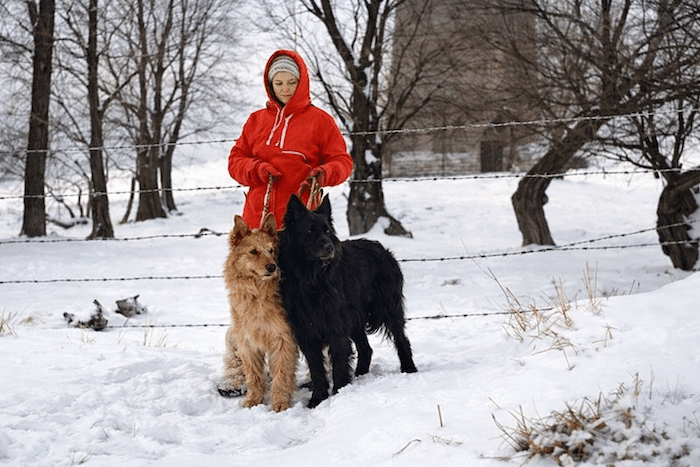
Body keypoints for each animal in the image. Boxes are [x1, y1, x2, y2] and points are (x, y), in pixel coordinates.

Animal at [217, 213, 297, 412]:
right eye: (253, 251)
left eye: (271, 250)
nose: (272, 267)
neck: (257, 293)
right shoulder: (247, 341)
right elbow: (253, 376)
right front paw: (253, 401)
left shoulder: (282, 339)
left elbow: (282, 374)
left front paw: (280, 403)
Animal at [278, 194, 417, 408]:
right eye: (309, 231)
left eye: (327, 230)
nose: (330, 248)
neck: (312, 279)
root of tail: (383, 249)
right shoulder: (306, 331)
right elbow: (317, 368)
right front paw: (317, 398)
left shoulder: (336, 327)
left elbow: (339, 362)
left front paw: (339, 393)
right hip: (355, 319)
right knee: (366, 348)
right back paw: (360, 375)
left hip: (389, 309)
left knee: (401, 339)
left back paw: (409, 368)